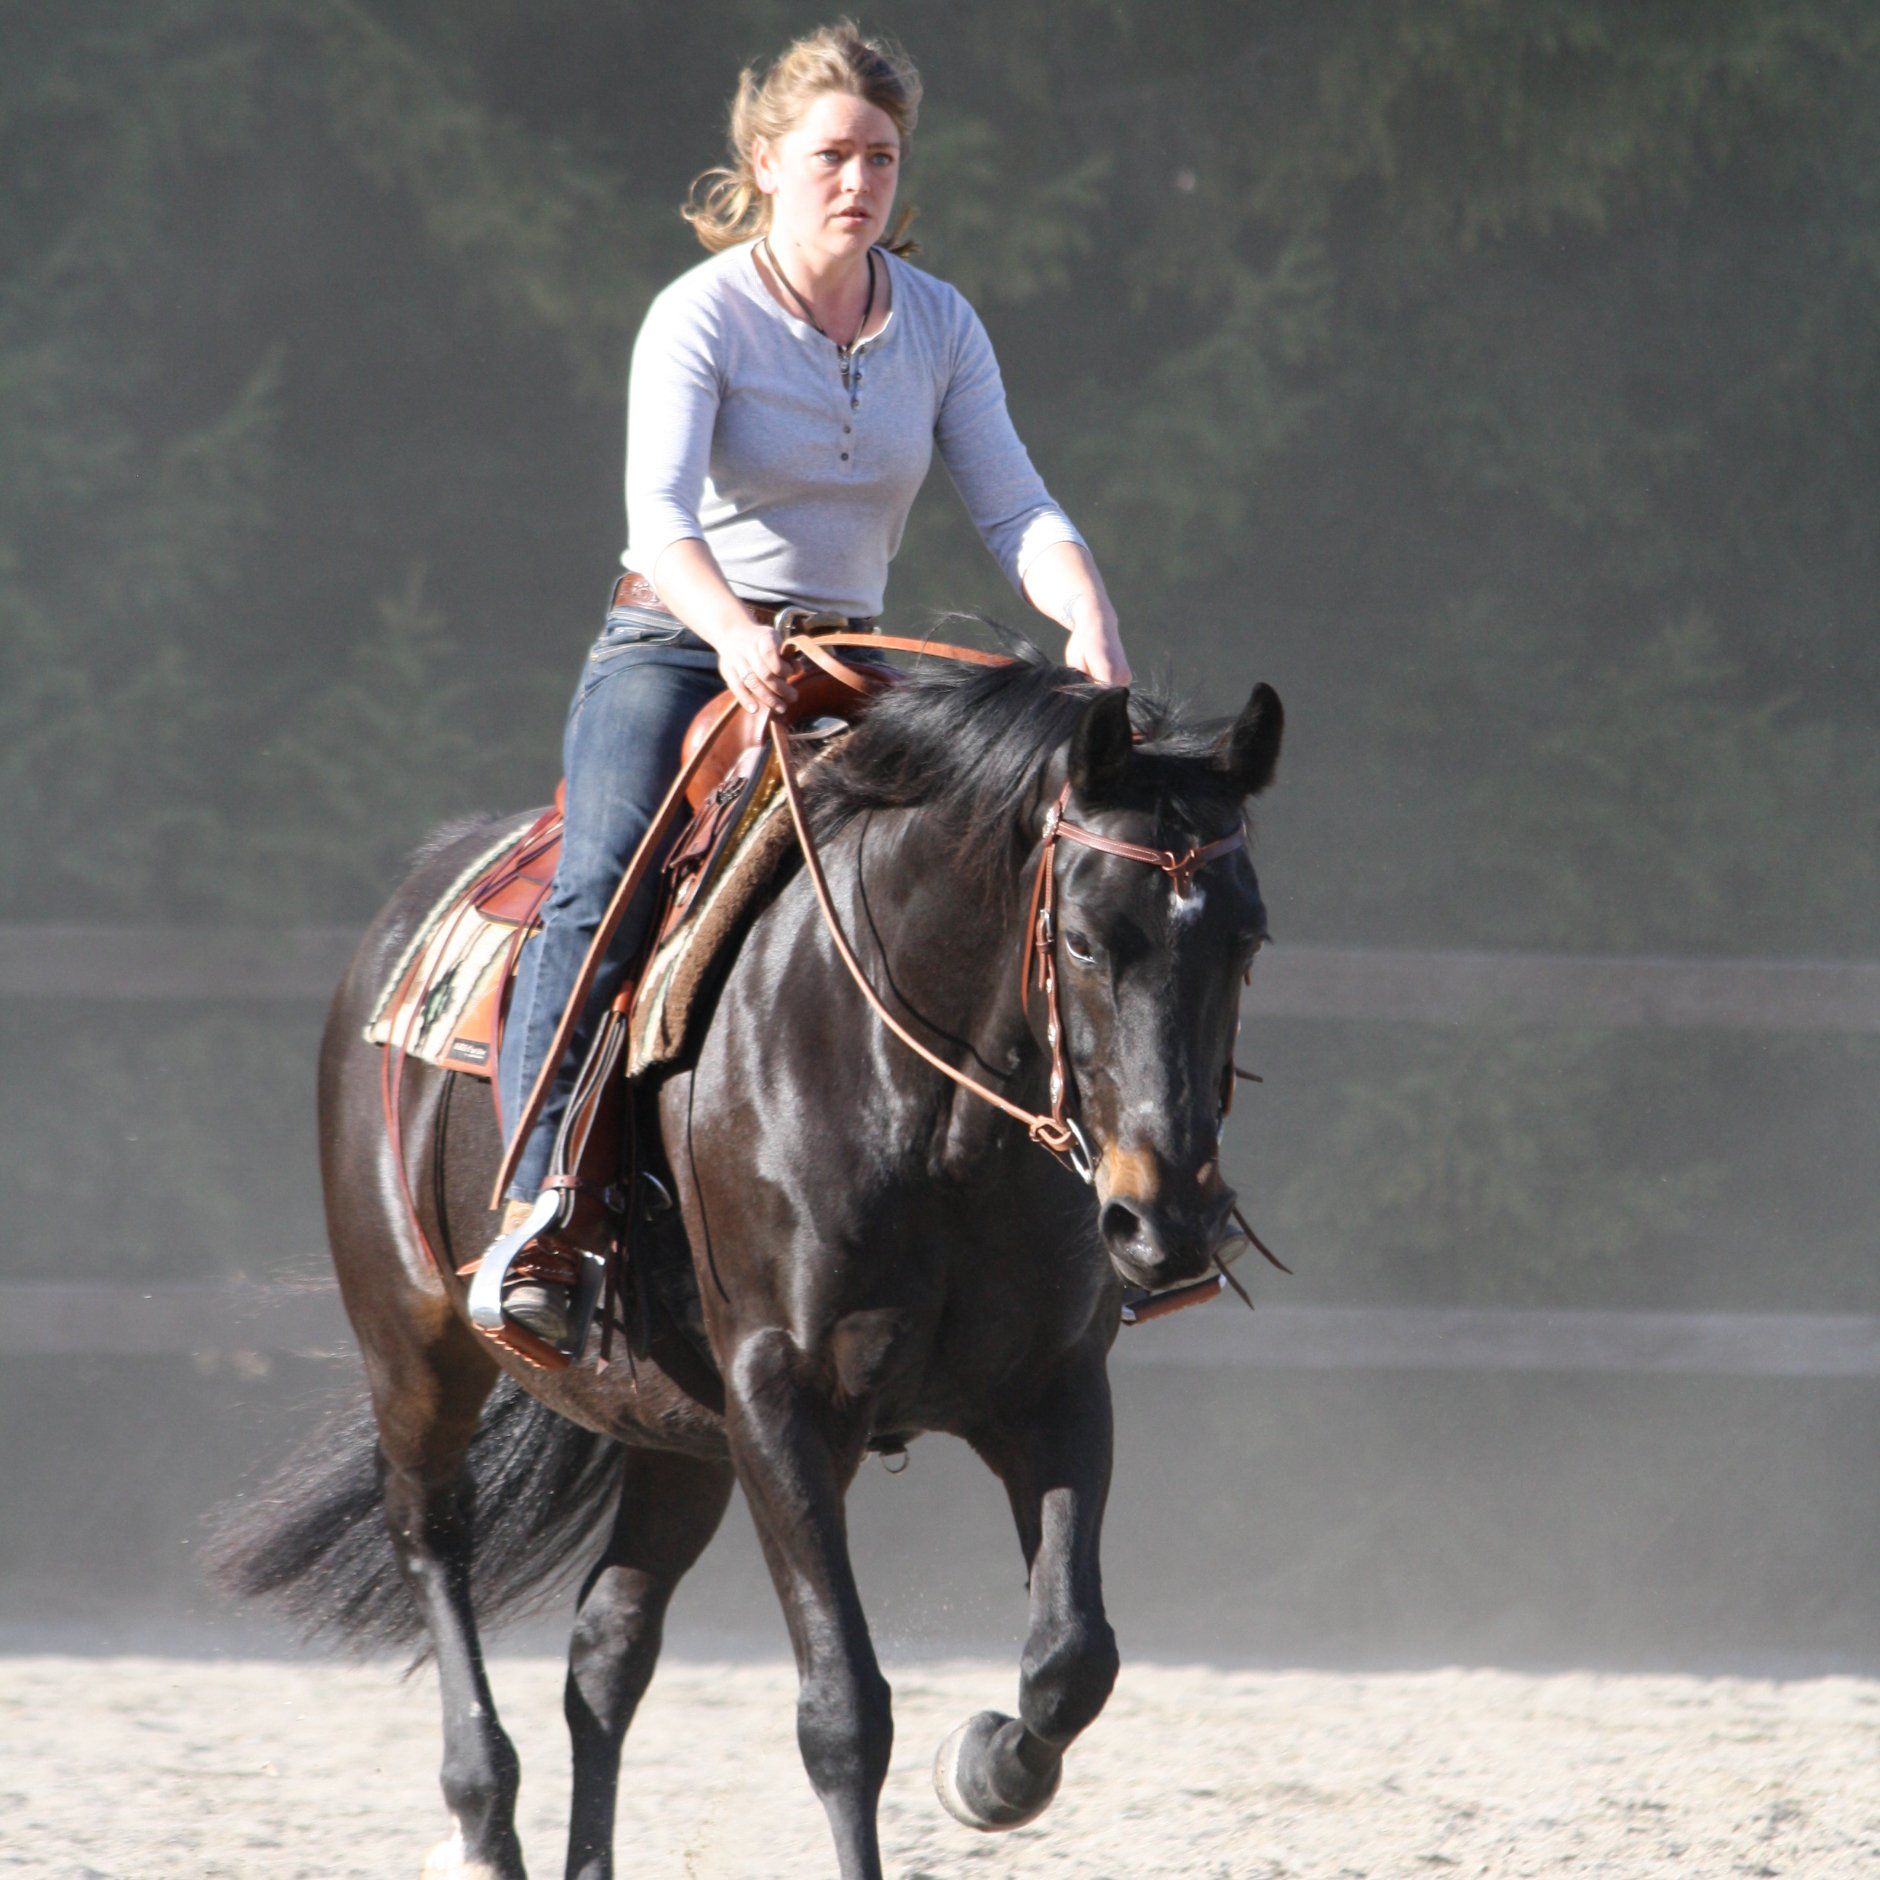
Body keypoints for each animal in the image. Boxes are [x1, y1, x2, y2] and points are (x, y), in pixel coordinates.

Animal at [214, 650, 1283, 1880]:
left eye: (1246, 940)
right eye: (1085, 938)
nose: (1167, 1221)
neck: (929, 1115)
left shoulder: (1049, 1390)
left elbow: (1073, 1656)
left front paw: (985, 1768)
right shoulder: (784, 1401)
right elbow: (843, 1711)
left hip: (679, 1435)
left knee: (606, 1646)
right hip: (417, 1352)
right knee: (432, 1540)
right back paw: (479, 1819)